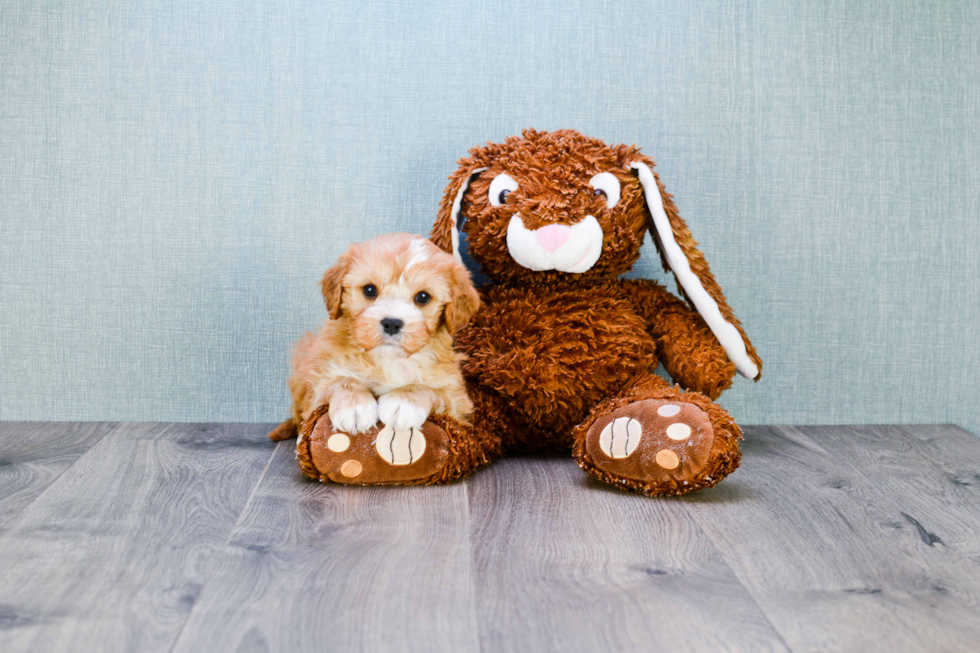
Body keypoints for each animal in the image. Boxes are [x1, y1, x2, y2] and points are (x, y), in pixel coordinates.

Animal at [268, 232, 482, 440]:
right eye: (369, 290)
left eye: (423, 297)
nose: (392, 323)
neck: (387, 360)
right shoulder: (320, 382)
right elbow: (343, 381)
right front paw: (354, 407)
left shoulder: (456, 400)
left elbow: (428, 388)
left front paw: (402, 402)